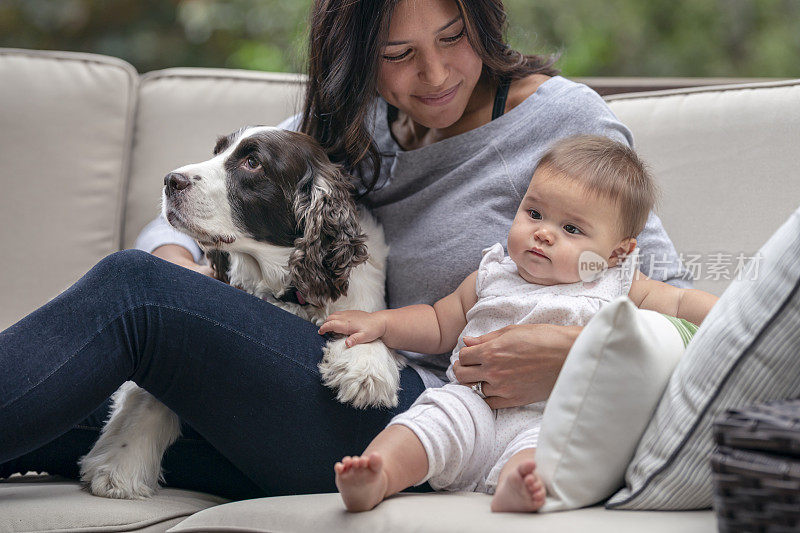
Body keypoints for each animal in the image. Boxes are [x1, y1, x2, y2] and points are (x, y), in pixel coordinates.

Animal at [80, 125, 404, 498]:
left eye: (253, 162)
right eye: (217, 151)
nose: (170, 180)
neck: (285, 289)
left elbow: (366, 321)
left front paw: (365, 368)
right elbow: (150, 391)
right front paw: (120, 463)